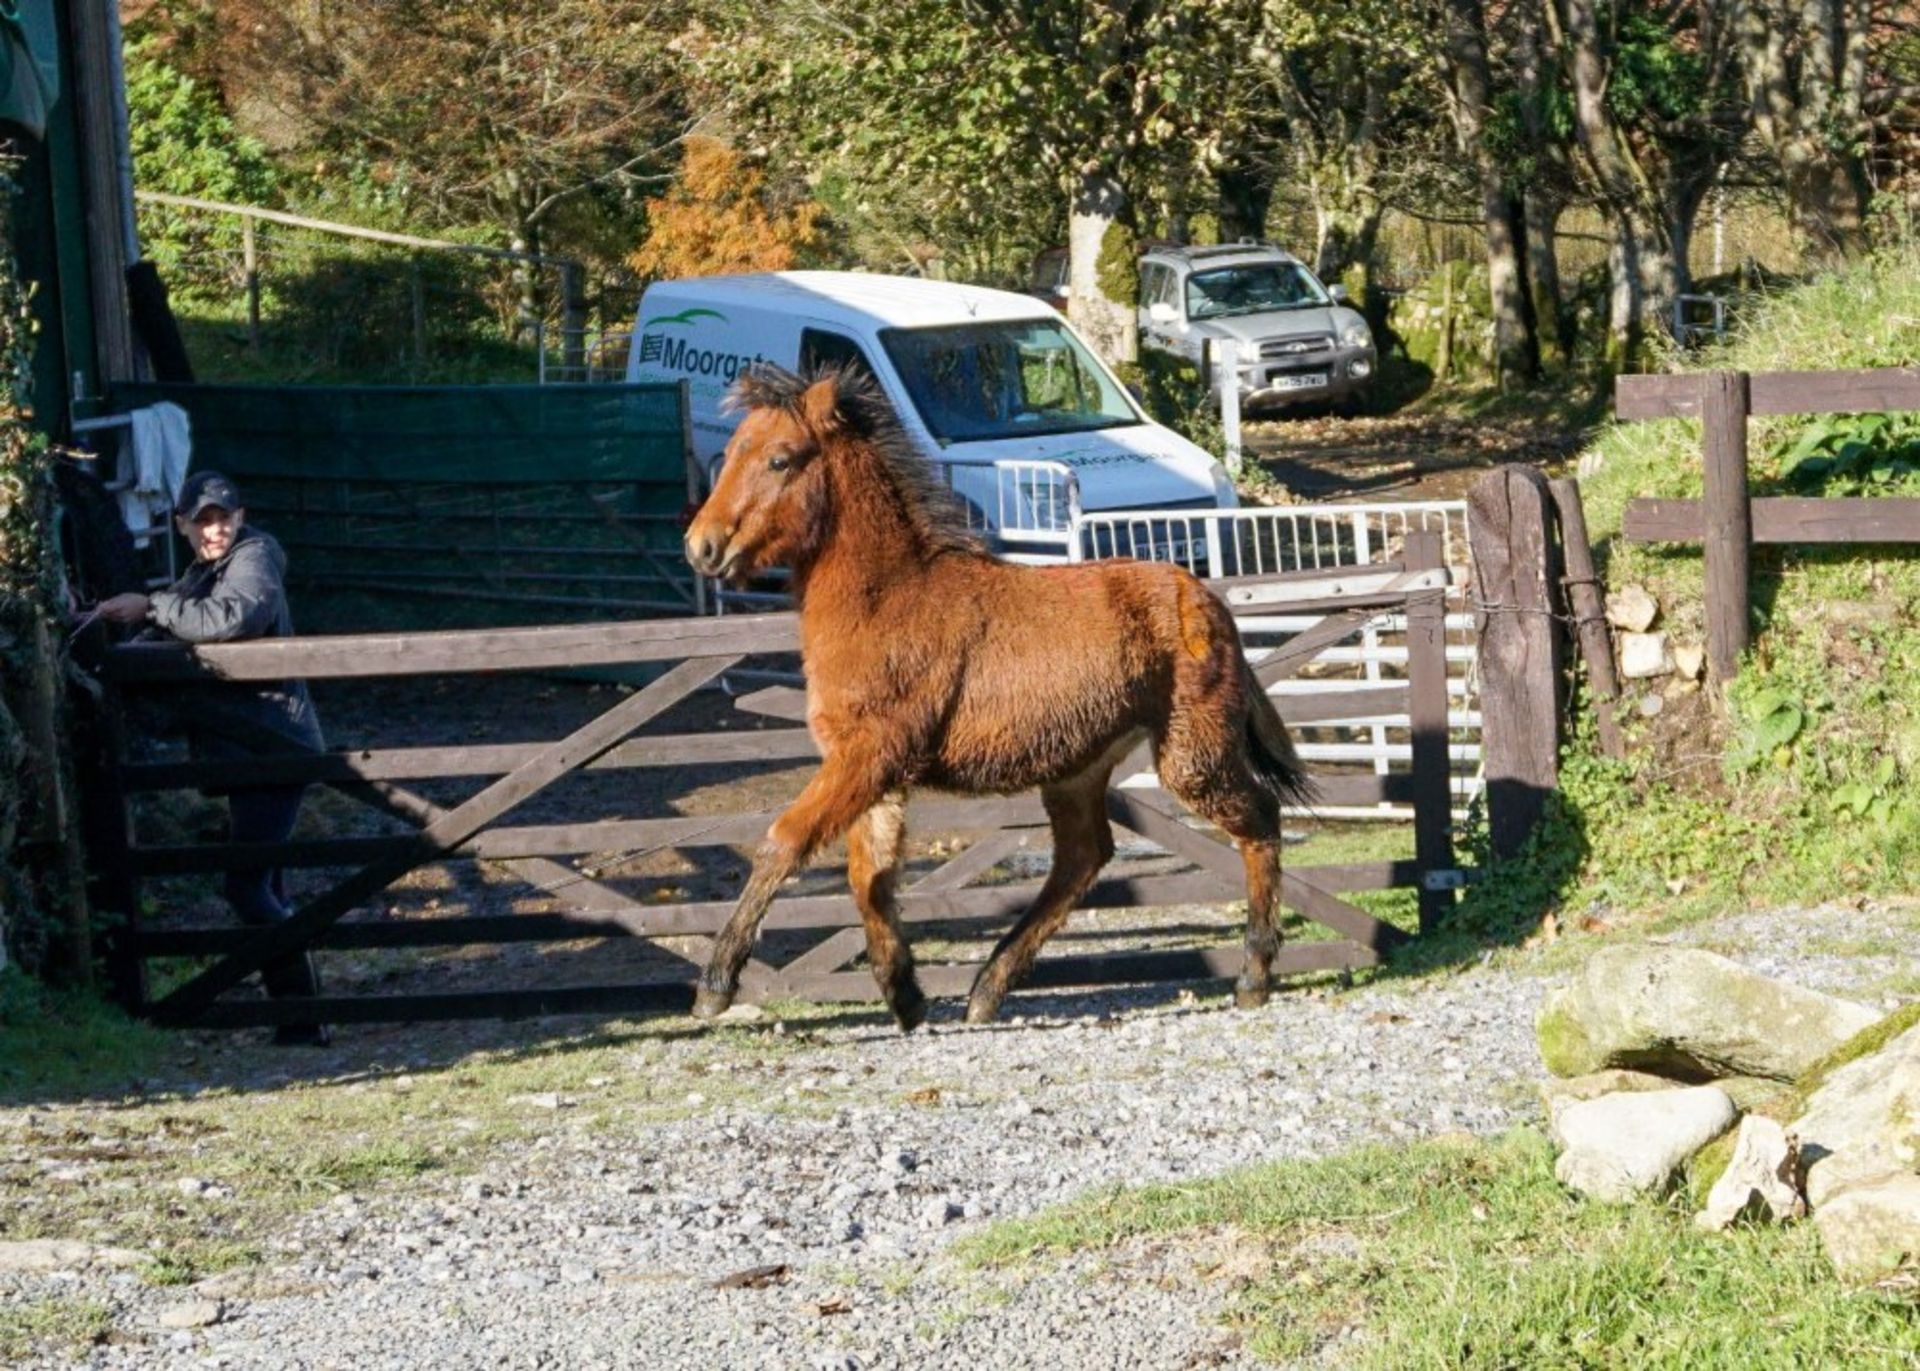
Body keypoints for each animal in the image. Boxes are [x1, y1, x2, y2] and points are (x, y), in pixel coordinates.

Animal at [683, 362, 1313, 1029]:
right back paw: (987, 988)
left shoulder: (869, 755)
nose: (701, 545)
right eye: (732, 451)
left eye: (780, 459)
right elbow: (869, 877)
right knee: (1084, 856)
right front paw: (905, 997)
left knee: (1259, 820)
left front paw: (716, 985)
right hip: (1079, 769)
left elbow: (784, 842)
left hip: (1192, 756)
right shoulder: (875, 771)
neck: (889, 599)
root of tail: (1208, 599)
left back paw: (1253, 975)